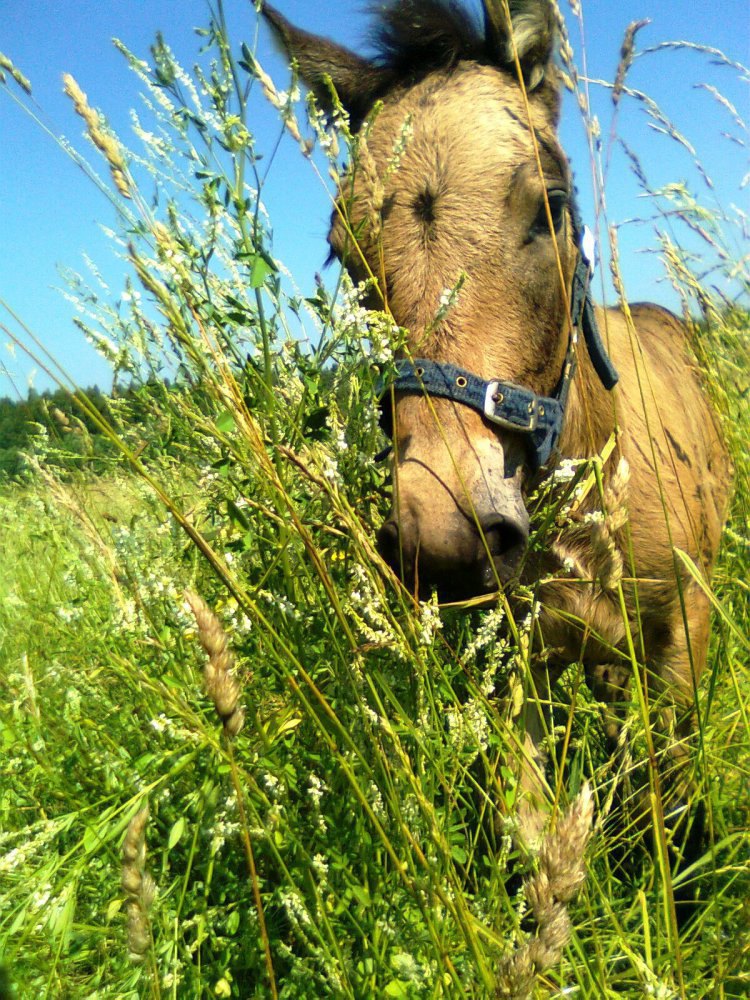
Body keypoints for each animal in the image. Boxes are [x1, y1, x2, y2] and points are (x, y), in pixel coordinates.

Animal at [264, 0, 736, 912]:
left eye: (550, 204)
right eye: (344, 252)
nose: (444, 544)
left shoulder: (684, 634)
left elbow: (667, 791)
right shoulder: (513, 665)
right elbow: (535, 834)